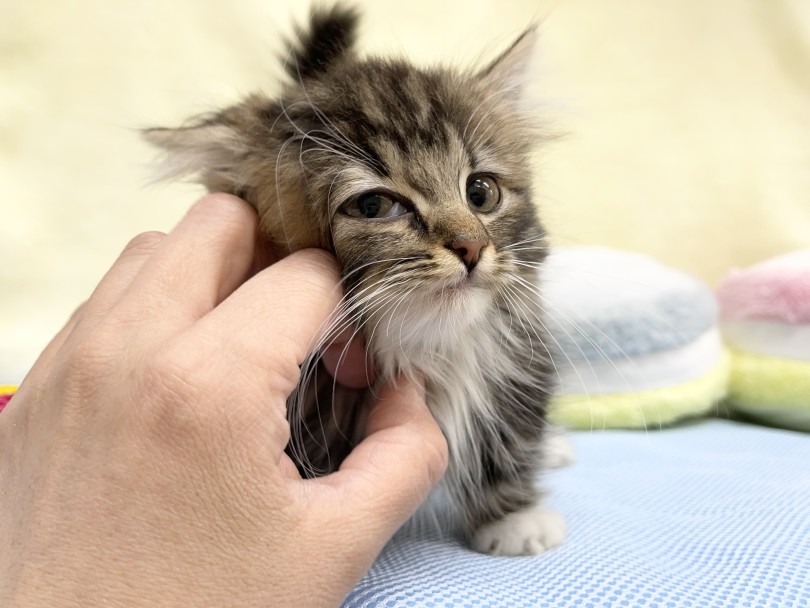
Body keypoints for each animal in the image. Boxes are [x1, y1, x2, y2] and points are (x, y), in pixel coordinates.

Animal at [144, 5, 560, 556]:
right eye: (373, 205)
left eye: (481, 192)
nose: (471, 248)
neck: (420, 348)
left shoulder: (516, 354)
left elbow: (509, 429)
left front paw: (514, 519)